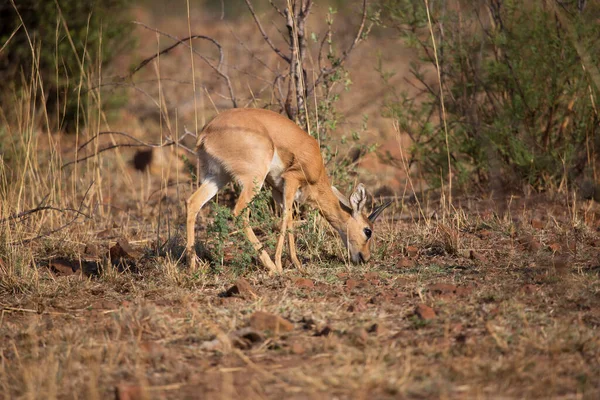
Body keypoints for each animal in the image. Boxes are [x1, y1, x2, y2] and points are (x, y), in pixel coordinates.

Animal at [188, 108, 394, 274]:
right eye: (368, 231)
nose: (365, 257)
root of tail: (206, 133)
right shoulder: (291, 180)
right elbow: (286, 219)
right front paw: (280, 265)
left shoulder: (278, 190)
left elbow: (290, 221)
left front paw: (297, 265)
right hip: (252, 181)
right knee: (239, 213)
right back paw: (271, 267)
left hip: (218, 177)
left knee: (193, 203)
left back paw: (193, 266)